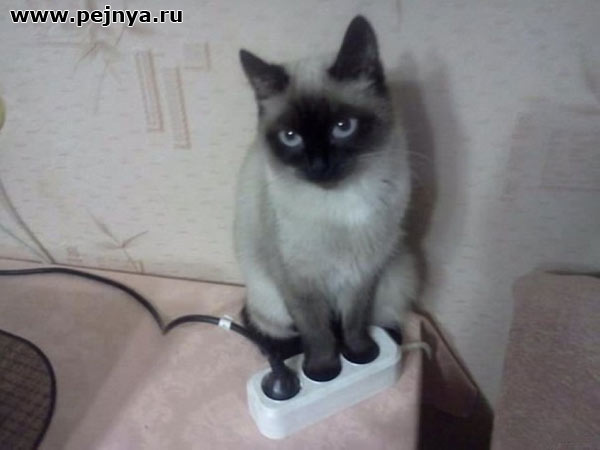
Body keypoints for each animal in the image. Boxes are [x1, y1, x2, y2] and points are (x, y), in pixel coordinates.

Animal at [235, 16, 416, 381]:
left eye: (343, 127)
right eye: (291, 137)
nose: (318, 166)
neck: (342, 204)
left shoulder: (363, 272)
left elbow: (355, 321)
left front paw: (361, 356)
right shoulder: (299, 281)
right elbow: (317, 330)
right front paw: (322, 372)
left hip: (397, 277)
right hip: (269, 299)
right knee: (277, 335)